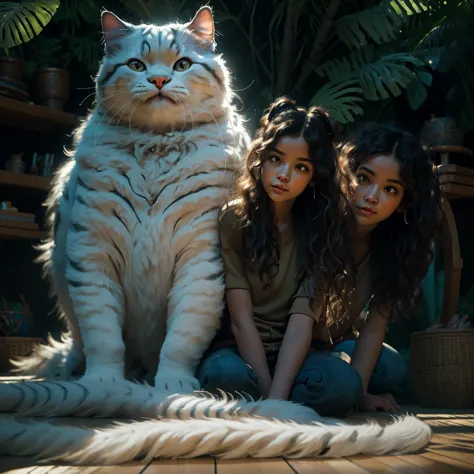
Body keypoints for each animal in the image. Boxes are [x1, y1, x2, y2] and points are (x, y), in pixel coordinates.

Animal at [11, 7, 250, 392]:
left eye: (183, 64)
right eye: (137, 65)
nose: (159, 80)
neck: (156, 145)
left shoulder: (200, 257)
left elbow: (183, 336)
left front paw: (173, 385)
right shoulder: (94, 252)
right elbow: (103, 336)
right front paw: (104, 383)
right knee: (79, 345)